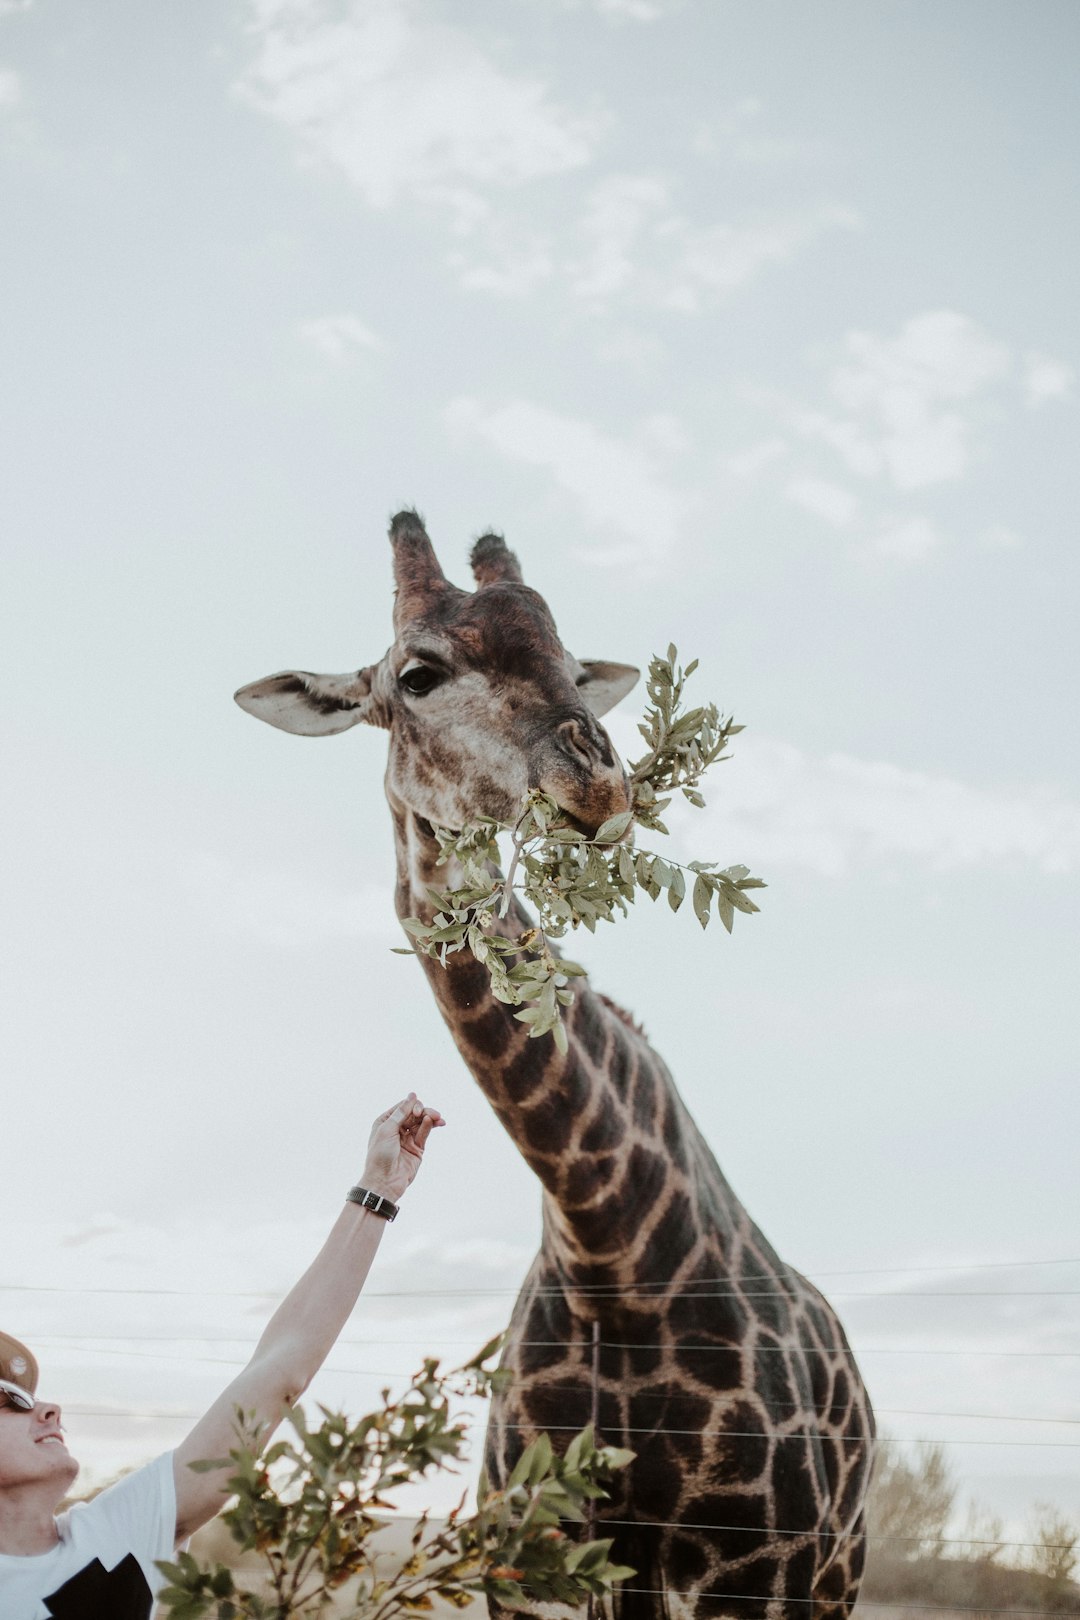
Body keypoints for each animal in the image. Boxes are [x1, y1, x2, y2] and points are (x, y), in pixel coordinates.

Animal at [238, 511, 880, 1613]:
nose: (596, 780)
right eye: (417, 674)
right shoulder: (534, 1562)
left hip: (835, 1576)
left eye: (576, 667)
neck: (608, 1250)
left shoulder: (760, 1572)